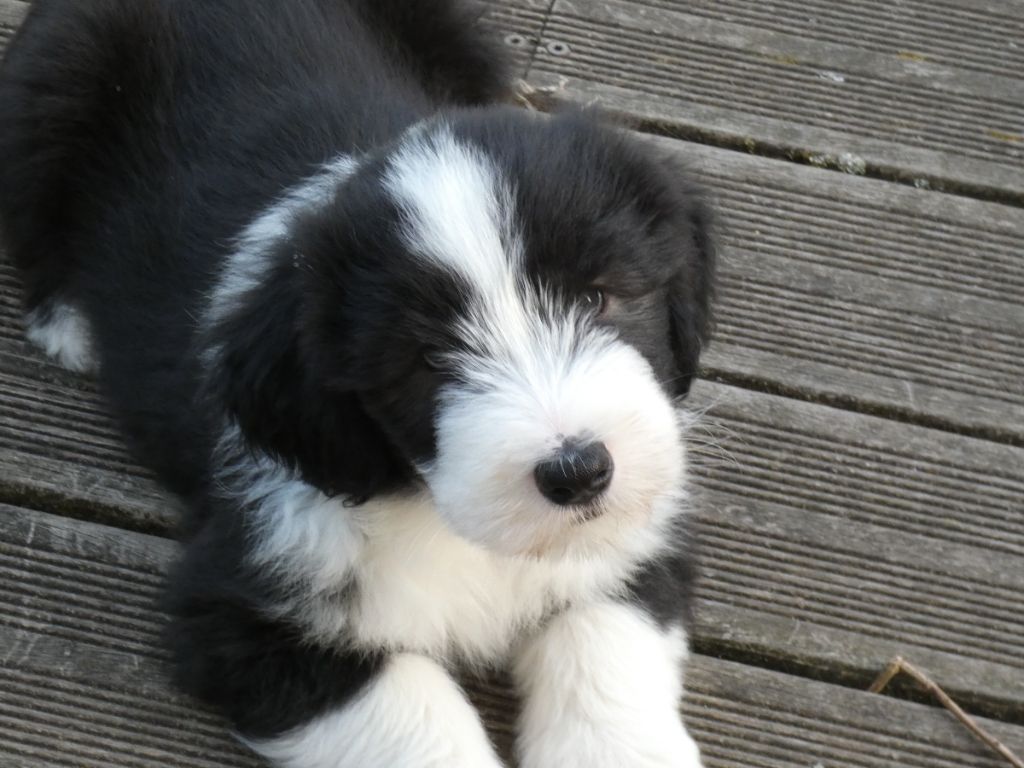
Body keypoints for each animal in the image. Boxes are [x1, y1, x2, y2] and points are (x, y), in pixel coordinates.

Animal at [2, 0, 712, 765]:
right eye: (427, 358)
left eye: (597, 297)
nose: (577, 472)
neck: (443, 519)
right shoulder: (245, 613)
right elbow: (415, 717)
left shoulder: (635, 546)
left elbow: (602, 643)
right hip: (45, 96)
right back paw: (70, 322)